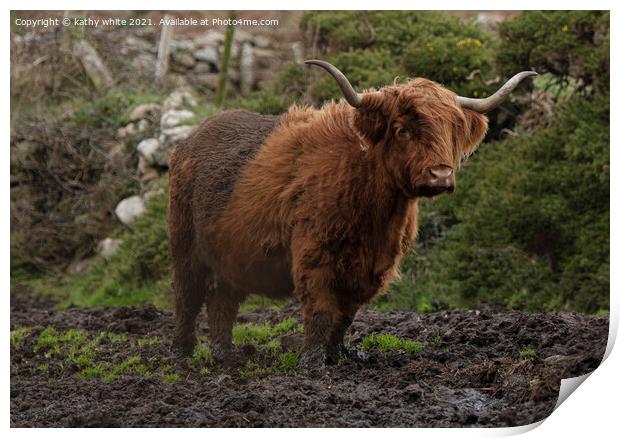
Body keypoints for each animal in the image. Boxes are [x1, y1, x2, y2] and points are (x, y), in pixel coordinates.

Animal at [167, 58, 536, 366]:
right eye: (402, 129)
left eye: (451, 131)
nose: (441, 174)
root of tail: (190, 140)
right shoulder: (314, 255)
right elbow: (319, 310)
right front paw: (313, 362)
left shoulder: (372, 269)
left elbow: (344, 316)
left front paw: (340, 355)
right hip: (186, 246)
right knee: (187, 298)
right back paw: (182, 355)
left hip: (229, 253)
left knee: (222, 300)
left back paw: (226, 355)